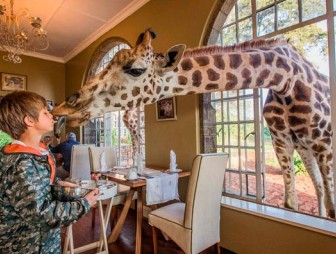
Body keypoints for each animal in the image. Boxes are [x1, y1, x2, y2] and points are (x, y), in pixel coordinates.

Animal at [51, 28, 334, 218]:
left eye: (135, 69)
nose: (64, 107)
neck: (284, 78)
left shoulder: (325, 144)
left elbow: (328, 207)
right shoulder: (282, 141)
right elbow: (292, 204)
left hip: (312, 147)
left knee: (322, 190)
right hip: (303, 148)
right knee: (319, 187)